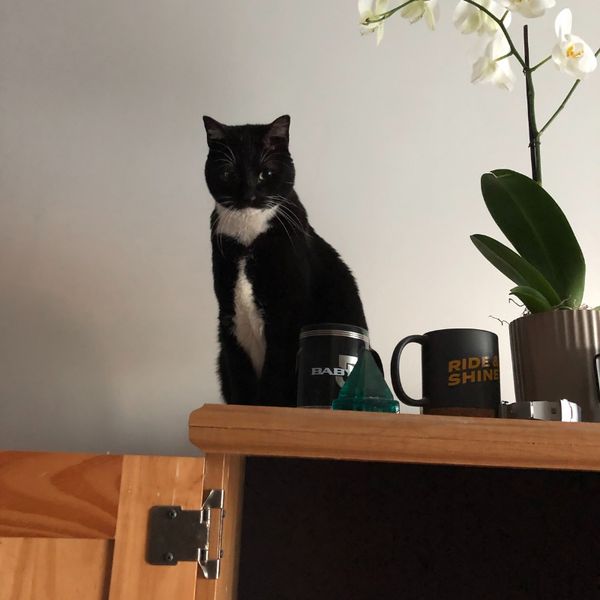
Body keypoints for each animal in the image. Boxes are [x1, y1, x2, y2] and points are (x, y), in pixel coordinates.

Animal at [204, 116, 368, 408]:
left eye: (266, 174)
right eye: (230, 174)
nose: (249, 195)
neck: (248, 236)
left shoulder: (286, 316)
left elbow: (275, 376)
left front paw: (267, 406)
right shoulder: (229, 316)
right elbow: (239, 375)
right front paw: (245, 409)